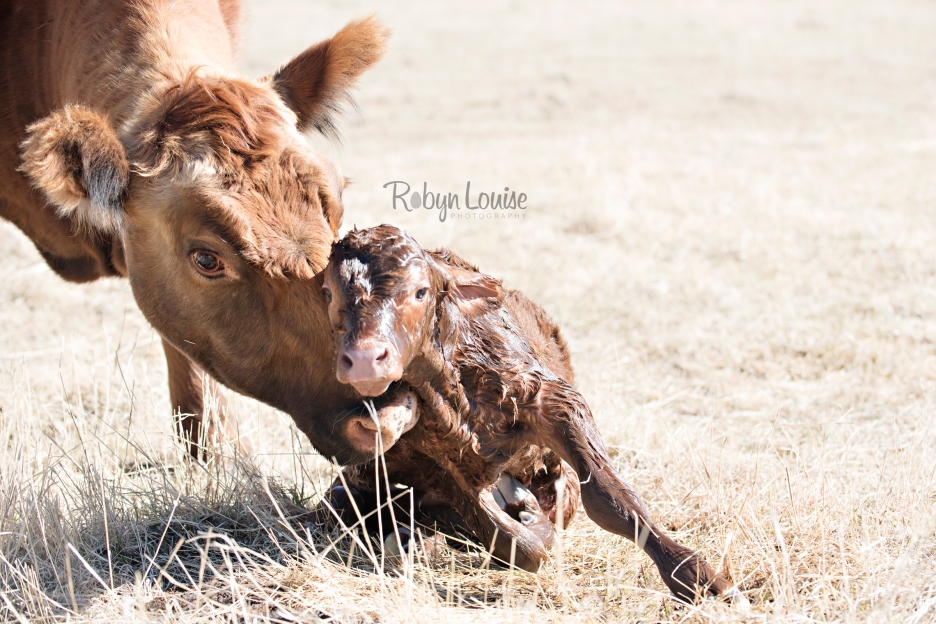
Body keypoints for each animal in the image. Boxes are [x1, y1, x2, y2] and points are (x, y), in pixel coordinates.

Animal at [322, 224, 744, 604]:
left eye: (420, 291)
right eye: (328, 293)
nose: (364, 359)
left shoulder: (552, 401)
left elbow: (610, 499)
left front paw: (703, 582)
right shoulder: (444, 468)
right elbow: (515, 542)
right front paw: (525, 521)